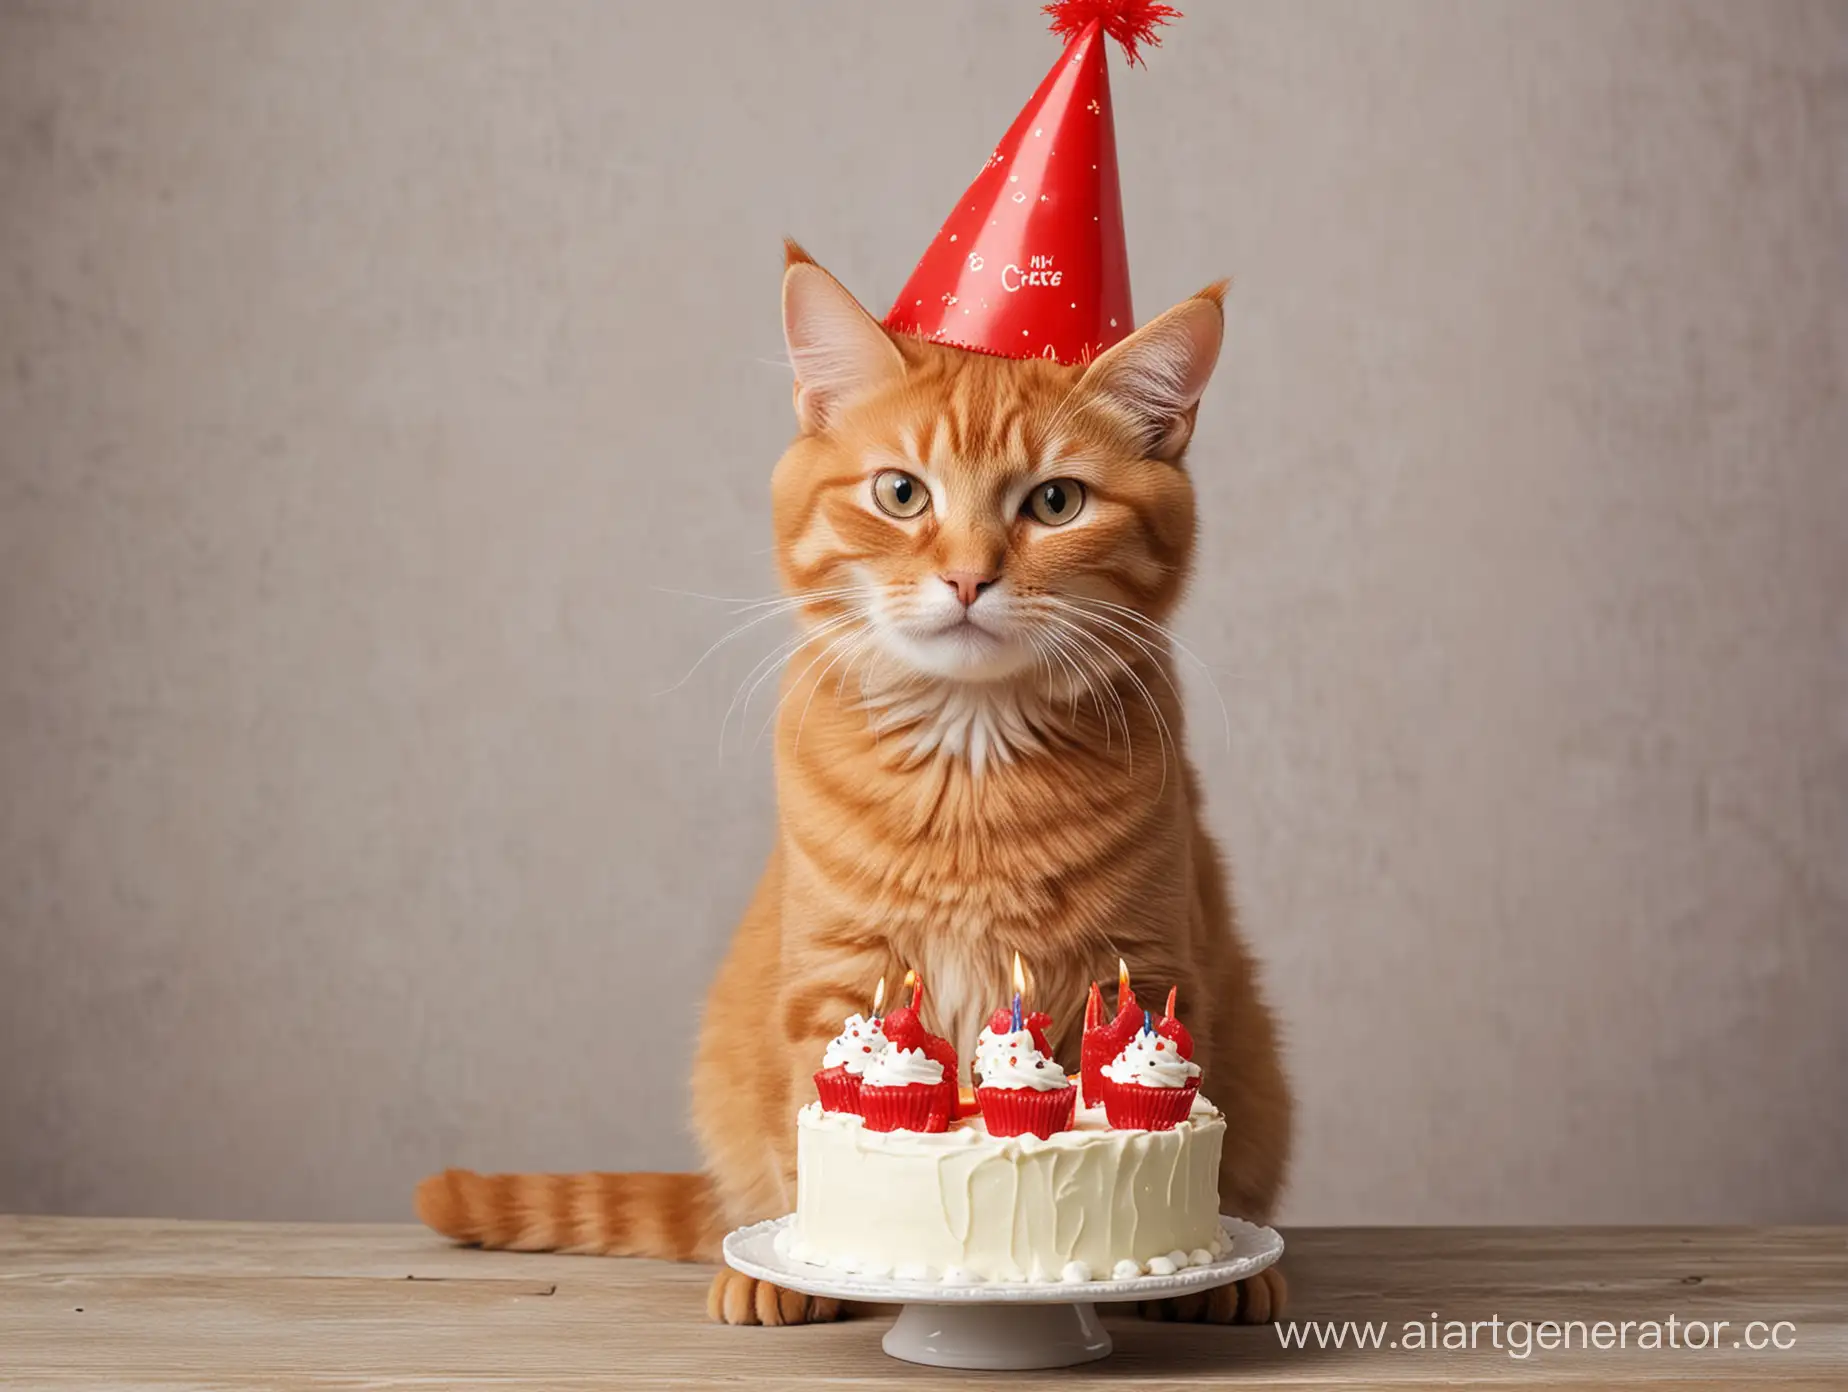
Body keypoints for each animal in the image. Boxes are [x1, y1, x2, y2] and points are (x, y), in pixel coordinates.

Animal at [417, 247, 1293, 1323]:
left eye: (1056, 503)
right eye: (902, 494)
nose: (968, 577)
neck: (970, 762)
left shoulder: (1146, 960)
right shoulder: (836, 976)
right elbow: (814, 1130)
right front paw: (813, 1280)